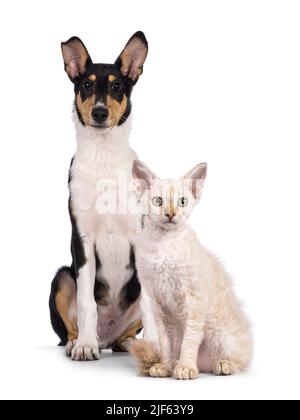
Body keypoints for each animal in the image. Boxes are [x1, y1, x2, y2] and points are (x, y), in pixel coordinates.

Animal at [49, 32, 158, 360]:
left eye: (117, 86)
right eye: (86, 85)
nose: (99, 112)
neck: (103, 158)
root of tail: (107, 337)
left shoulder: (139, 236)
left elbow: (149, 306)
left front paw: (157, 349)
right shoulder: (82, 239)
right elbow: (87, 303)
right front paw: (85, 345)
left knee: (129, 332)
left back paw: (132, 344)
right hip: (62, 276)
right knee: (71, 327)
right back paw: (78, 343)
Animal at [130, 160, 252, 380]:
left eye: (182, 202)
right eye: (158, 201)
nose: (171, 214)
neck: (164, 245)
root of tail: (205, 364)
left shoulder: (194, 300)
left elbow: (190, 338)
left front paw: (186, 367)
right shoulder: (157, 303)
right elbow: (165, 342)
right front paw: (166, 366)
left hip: (220, 332)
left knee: (241, 361)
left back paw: (224, 364)